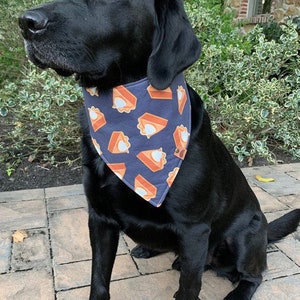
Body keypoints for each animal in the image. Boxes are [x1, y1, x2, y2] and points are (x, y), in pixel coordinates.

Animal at [19, 1, 300, 298]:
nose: (26, 22)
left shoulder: (193, 230)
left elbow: (189, 287)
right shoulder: (99, 217)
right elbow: (98, 280)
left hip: (245, 236)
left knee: (253, 276)